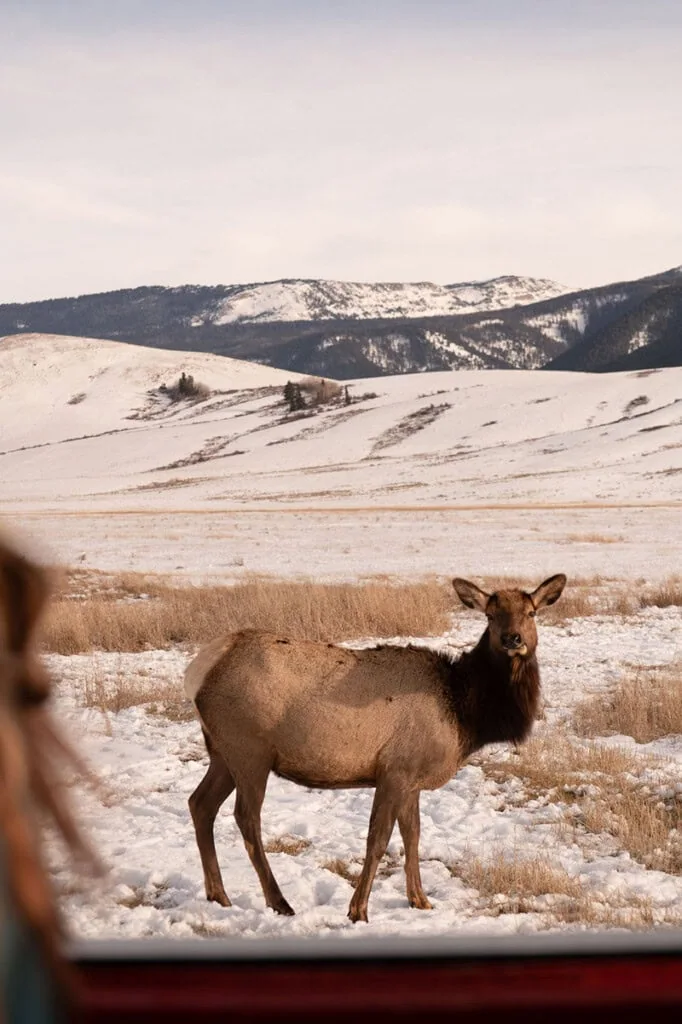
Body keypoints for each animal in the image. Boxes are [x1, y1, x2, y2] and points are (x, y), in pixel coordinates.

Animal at [185, 574, 566, 923]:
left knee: (200, 803)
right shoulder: (395, 770)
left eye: (531, 612)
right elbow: (378, 840)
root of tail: (198, 671)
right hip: (249, 750)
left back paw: (219, 895)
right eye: (490, 614)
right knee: (246, 818)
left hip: (221, 753)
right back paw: (279, 902)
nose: (512, 639)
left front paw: (420, 900)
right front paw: (358, 910)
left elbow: (413, 836)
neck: (465, 713)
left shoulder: (412, 777)